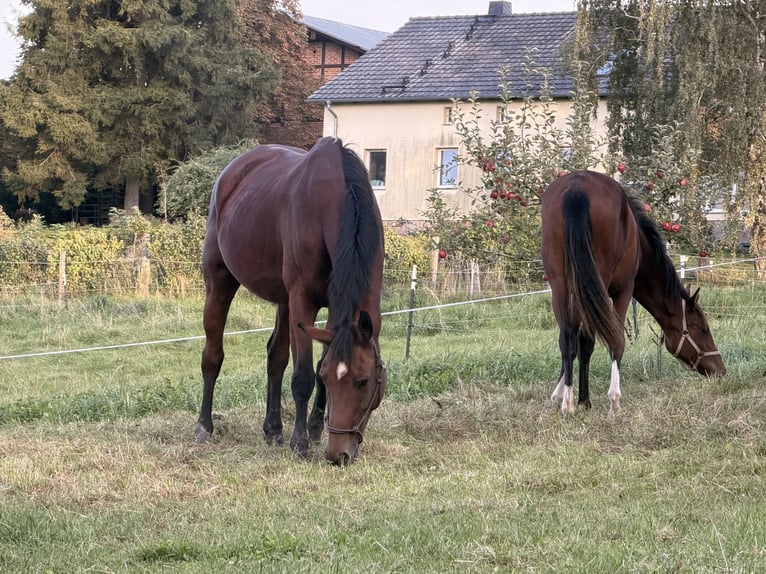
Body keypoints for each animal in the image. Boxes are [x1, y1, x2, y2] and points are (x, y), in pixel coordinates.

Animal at [195, 137, 387, 465]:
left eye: (363, 381)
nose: (339, 455)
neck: (333, 201)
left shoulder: (332, 309)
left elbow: (310, 364)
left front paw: (314, 430)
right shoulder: (303, 300)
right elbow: (304, 376)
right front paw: (300, 441)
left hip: (283, 301)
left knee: (276, 356)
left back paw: (273, 429)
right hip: (220, 281)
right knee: (212, 357)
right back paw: (204, 426)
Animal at [541, 170, 725, 415]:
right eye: (704, 329)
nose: (721, 369)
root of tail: (576, 188)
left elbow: (571, 342)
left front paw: (560, 393)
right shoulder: (623, 290)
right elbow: (615, 339)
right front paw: (610, 399)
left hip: (560, 284)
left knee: (567, 336)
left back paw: (569, 403)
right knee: (590, 339)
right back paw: (584, 402)